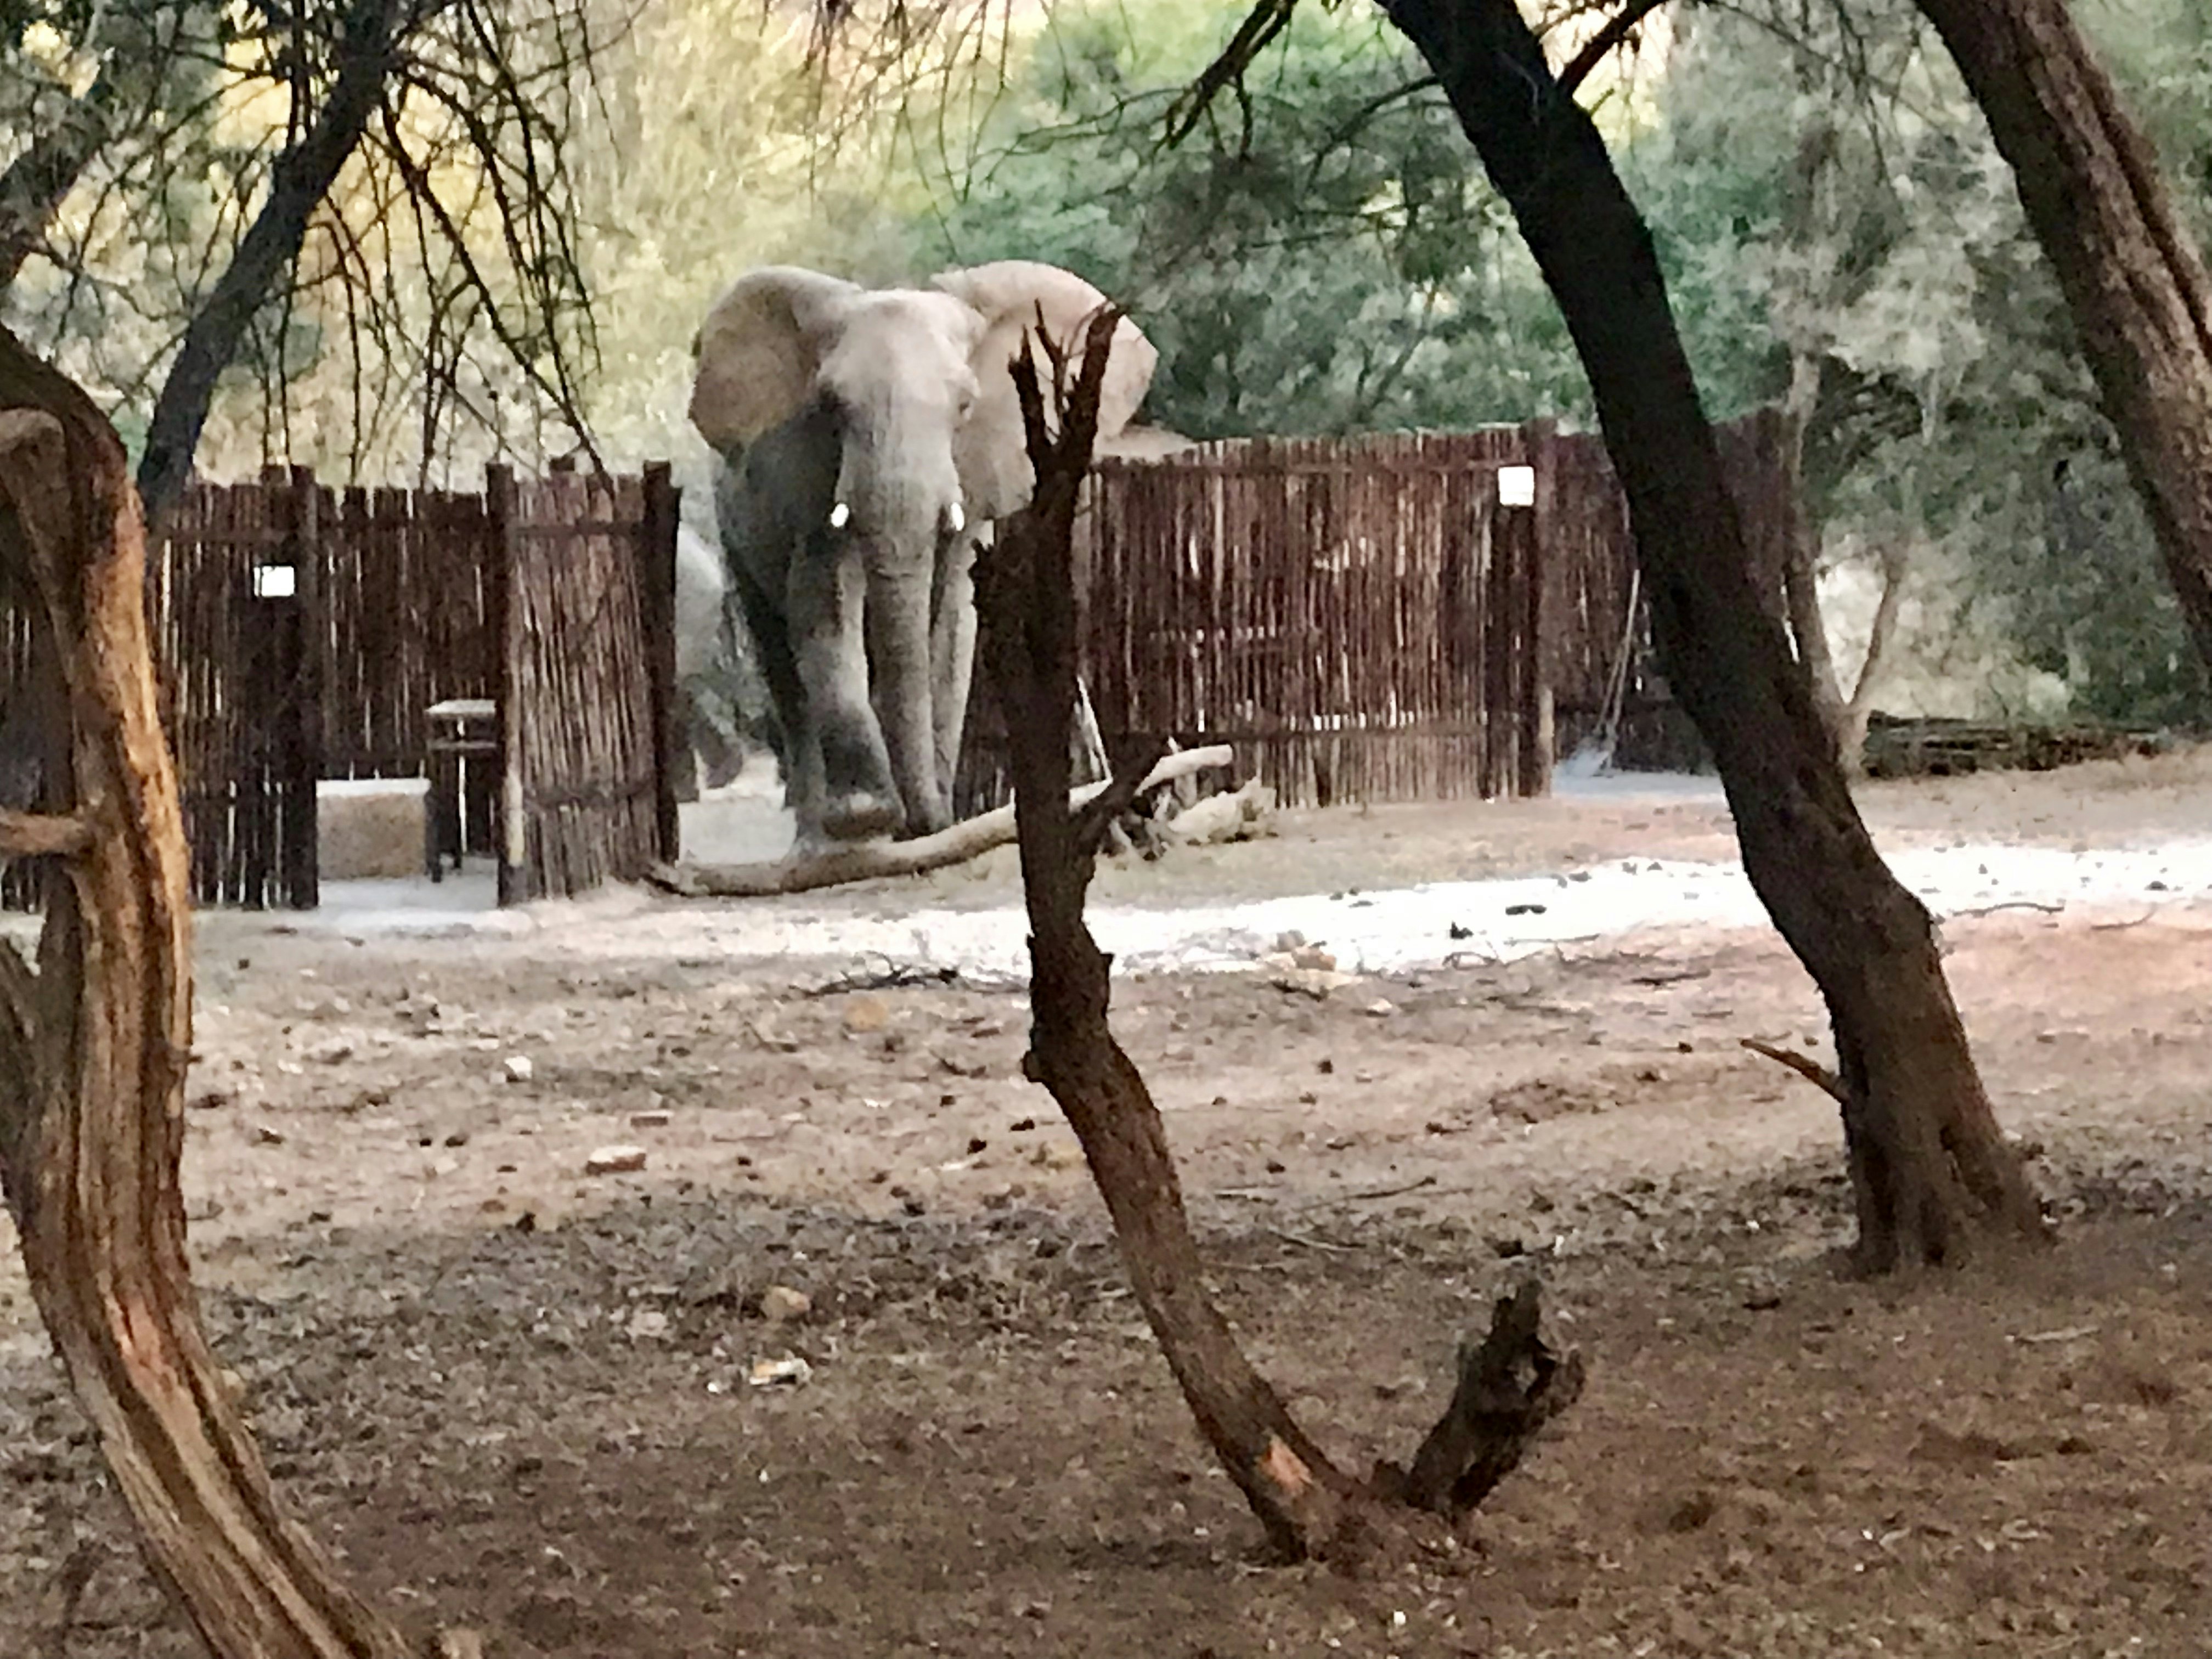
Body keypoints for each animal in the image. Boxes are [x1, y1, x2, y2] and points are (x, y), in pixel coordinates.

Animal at [686, 260, 1157, 850]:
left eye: (965, 406)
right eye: (831, 406)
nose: (918, 819)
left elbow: (953, 623)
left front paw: (929, 825)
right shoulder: (812, 478)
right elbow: (823, 607)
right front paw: (866, 817)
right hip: (731, 533)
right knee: (779, 659)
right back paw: (815, 840)